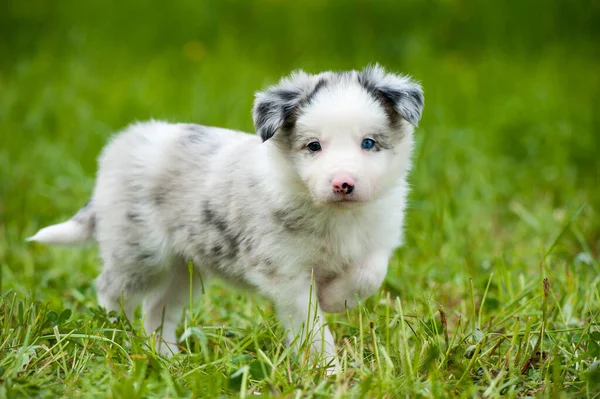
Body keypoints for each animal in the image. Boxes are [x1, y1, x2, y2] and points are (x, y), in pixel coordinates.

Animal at [27, 64, 422, 374]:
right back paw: (114, 336)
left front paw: (337, 299)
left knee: (157, 310)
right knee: (112, 291)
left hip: (184, 269)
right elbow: (311, 326)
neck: (336, 215)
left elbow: (369, 274)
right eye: (314, 146)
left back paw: (167, 359)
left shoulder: (377, 240)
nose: (343, 184)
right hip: (137, 251)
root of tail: (125, 141)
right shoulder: (285, 272)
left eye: (368, 143)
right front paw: (328, 371)